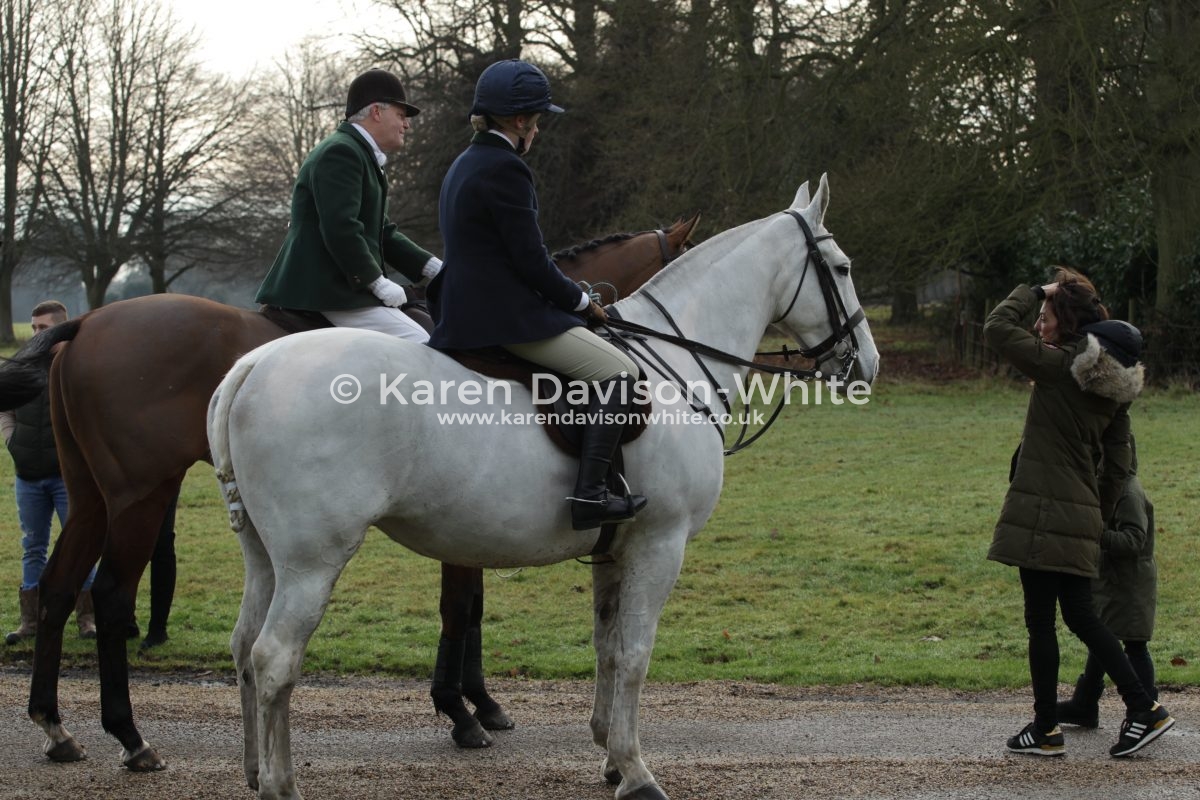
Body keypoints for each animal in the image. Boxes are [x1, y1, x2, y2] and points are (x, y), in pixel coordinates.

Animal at [0, 213, 699, 770]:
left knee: (59, 587)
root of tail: (87, 322)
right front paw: (464, 711)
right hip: (142, 495)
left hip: (90, 495)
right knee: (111, 596)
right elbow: (461, 609)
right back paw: (130, 735)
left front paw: (478, 703)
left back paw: (55, 727)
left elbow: (468, 607)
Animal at [208, 175, 878, 800]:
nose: (866, 365)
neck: (674, 366)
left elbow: (608, 647)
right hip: (313, 559)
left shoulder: (615, 549)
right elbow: (635, 654)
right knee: (274, 659)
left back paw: (253, 770)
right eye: (844, 268)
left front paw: (610, 756)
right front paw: (636, 771)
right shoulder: (660, 543)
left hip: (265, 555)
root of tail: (255, 364)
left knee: (244, 649)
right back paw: (280, 783)